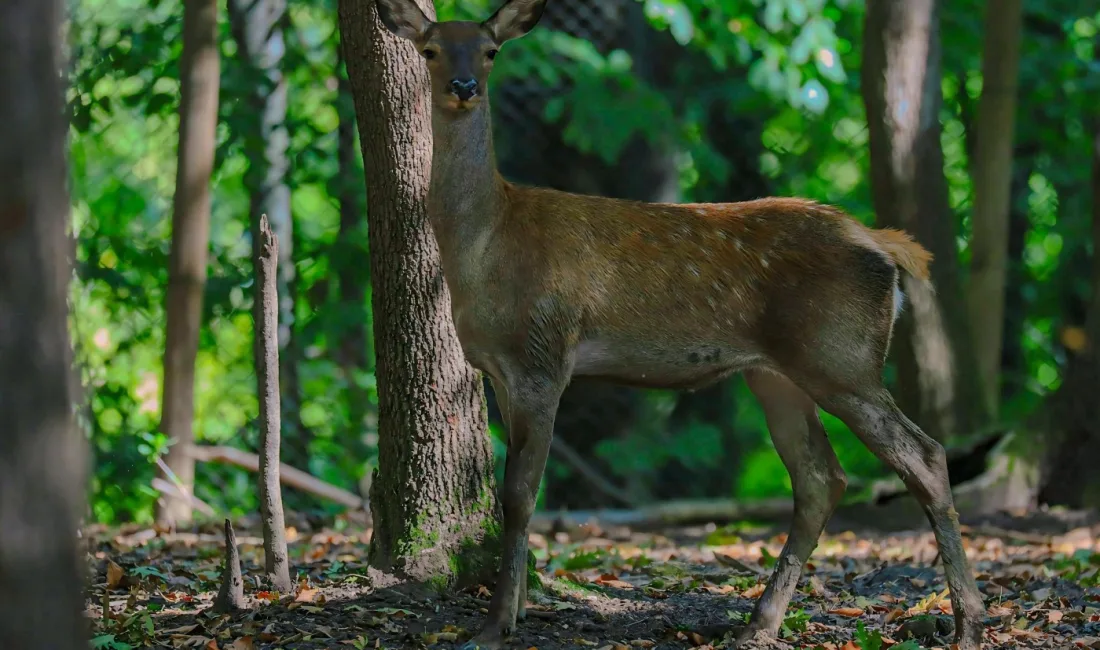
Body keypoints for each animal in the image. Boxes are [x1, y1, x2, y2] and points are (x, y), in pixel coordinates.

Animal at [369, 1, 990, 650]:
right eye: (432, 49)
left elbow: (518, 495)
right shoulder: (496, 367)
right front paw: (512, 612)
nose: (465, 86)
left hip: (841, 356)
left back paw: (969, 623)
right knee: (822, 477)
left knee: (924, 456)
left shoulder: (543, 354)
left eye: (490, 50)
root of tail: (886, 248)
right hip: (777, 373)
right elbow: (516, 491)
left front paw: (494, 626)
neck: (486, 246)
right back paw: (759, 623)